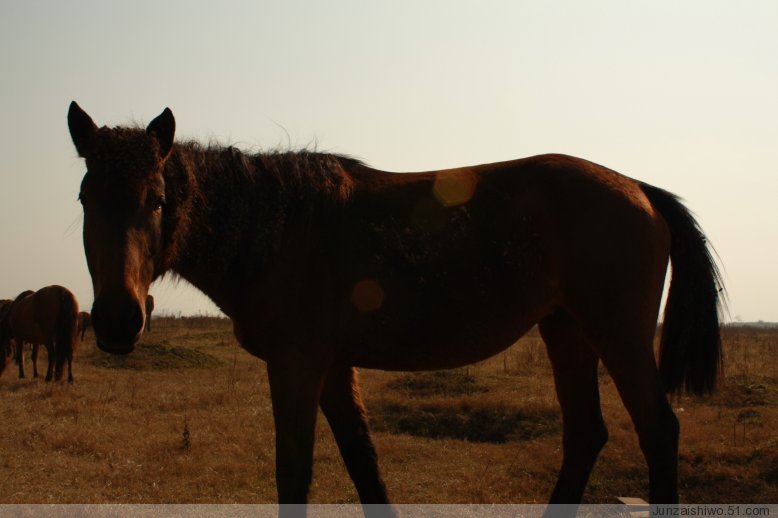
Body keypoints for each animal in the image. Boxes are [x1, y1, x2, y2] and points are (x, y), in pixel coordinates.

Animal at [66, 102, 720, 512]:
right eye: (84, 197)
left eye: (157, 199)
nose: (119, 320)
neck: (278, 229)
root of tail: (641, 189)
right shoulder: (332, 368)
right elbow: (364, 464)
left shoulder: (297, 366)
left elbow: (294, 473)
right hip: (566, 332)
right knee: (586, 434)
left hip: (619, 335)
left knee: (657, 431)